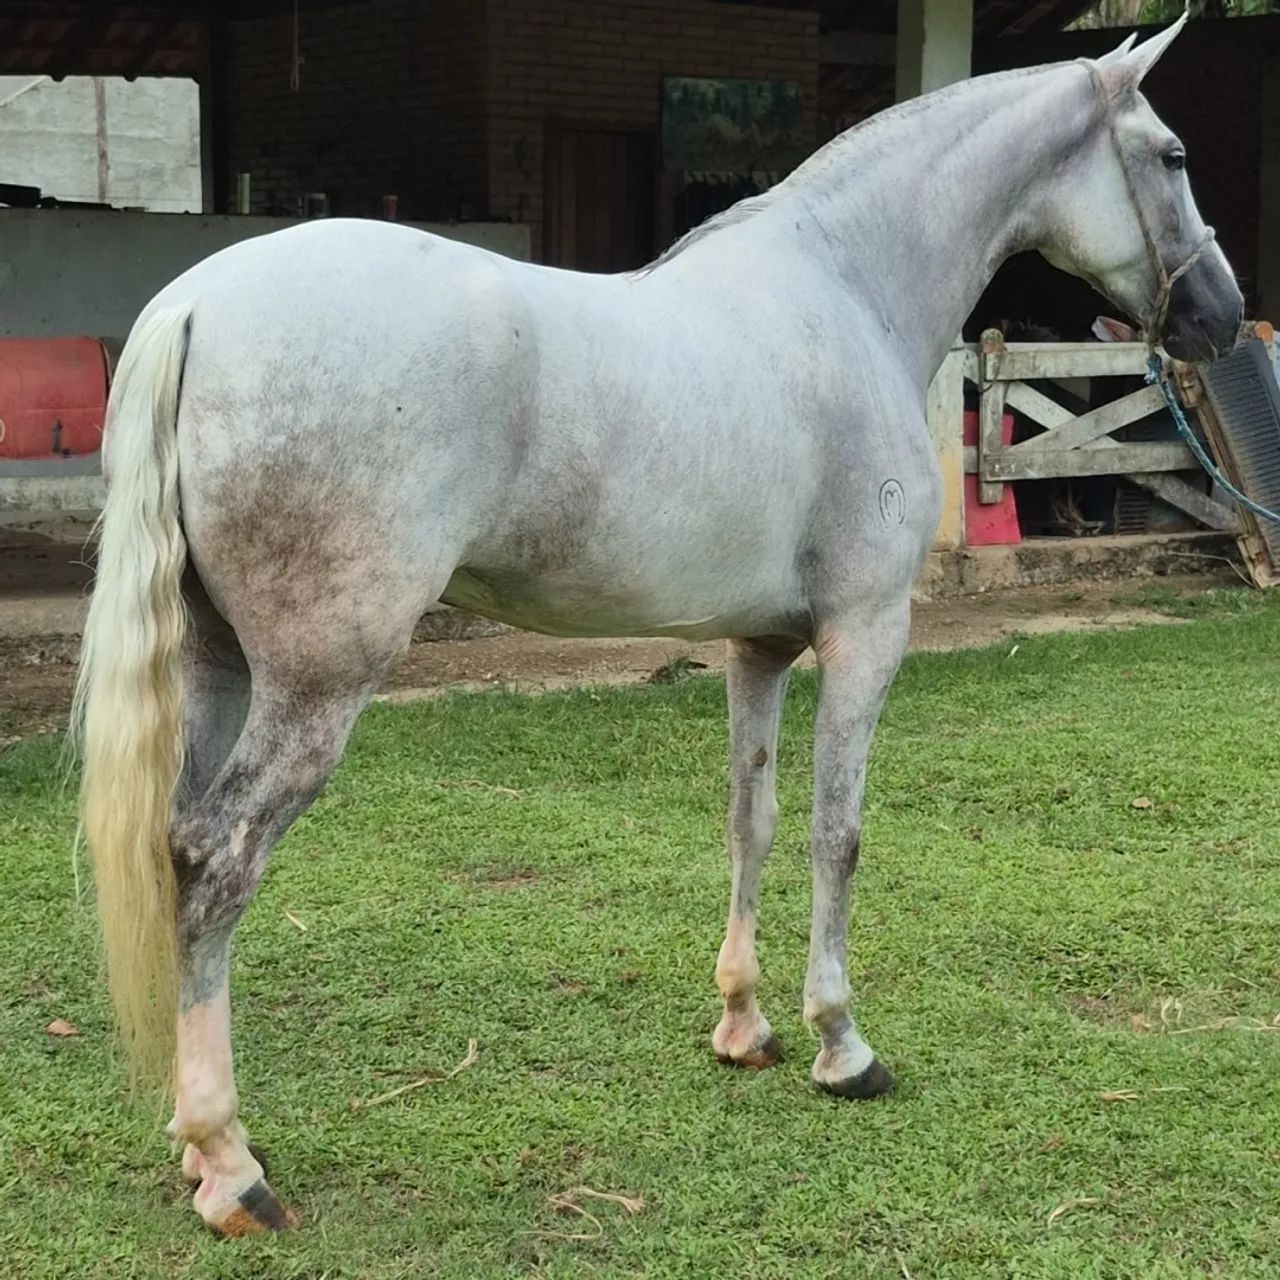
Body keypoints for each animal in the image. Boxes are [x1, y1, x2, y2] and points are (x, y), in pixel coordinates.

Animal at [74, 16, 1242, 1235]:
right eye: (1171, 155)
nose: (1216, 314)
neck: (847, 287)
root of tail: (197, 305)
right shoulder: (866, 633)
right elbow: (837, 833)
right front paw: (841, 1045)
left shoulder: (758, 649)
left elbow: (750, 821)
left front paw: (744, 1024)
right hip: (313, 686)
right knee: (220, 861)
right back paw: (231, 1161)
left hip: (216, 667)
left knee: (176, 847)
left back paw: (195, 1147)